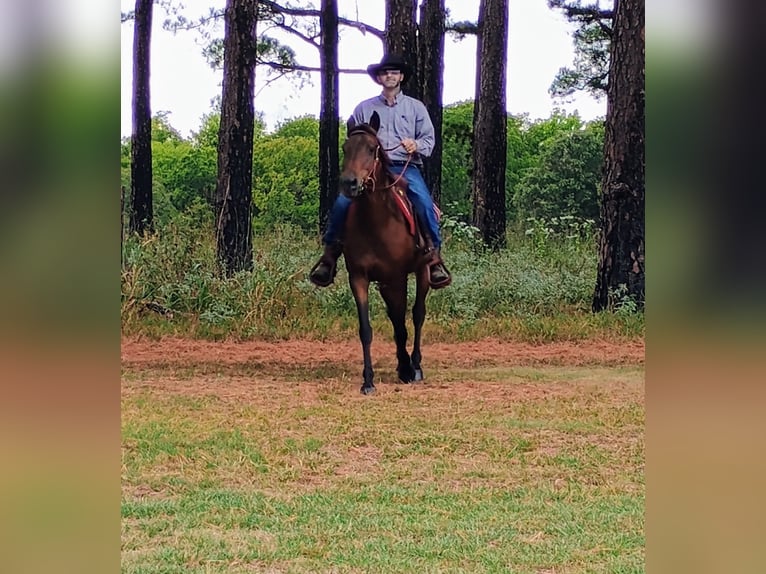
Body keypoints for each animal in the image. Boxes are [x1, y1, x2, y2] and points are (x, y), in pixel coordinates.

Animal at [339, 111, 433, 395]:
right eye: (345, 148)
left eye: (372, 149)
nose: (349, 183)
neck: (376, 223)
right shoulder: (359, 277)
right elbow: (367, 329)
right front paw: (368, 381)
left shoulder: (397, 277)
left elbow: (402, 323)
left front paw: (407, 369)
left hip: (423, 272)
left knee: (417, 314)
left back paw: (415, 366)